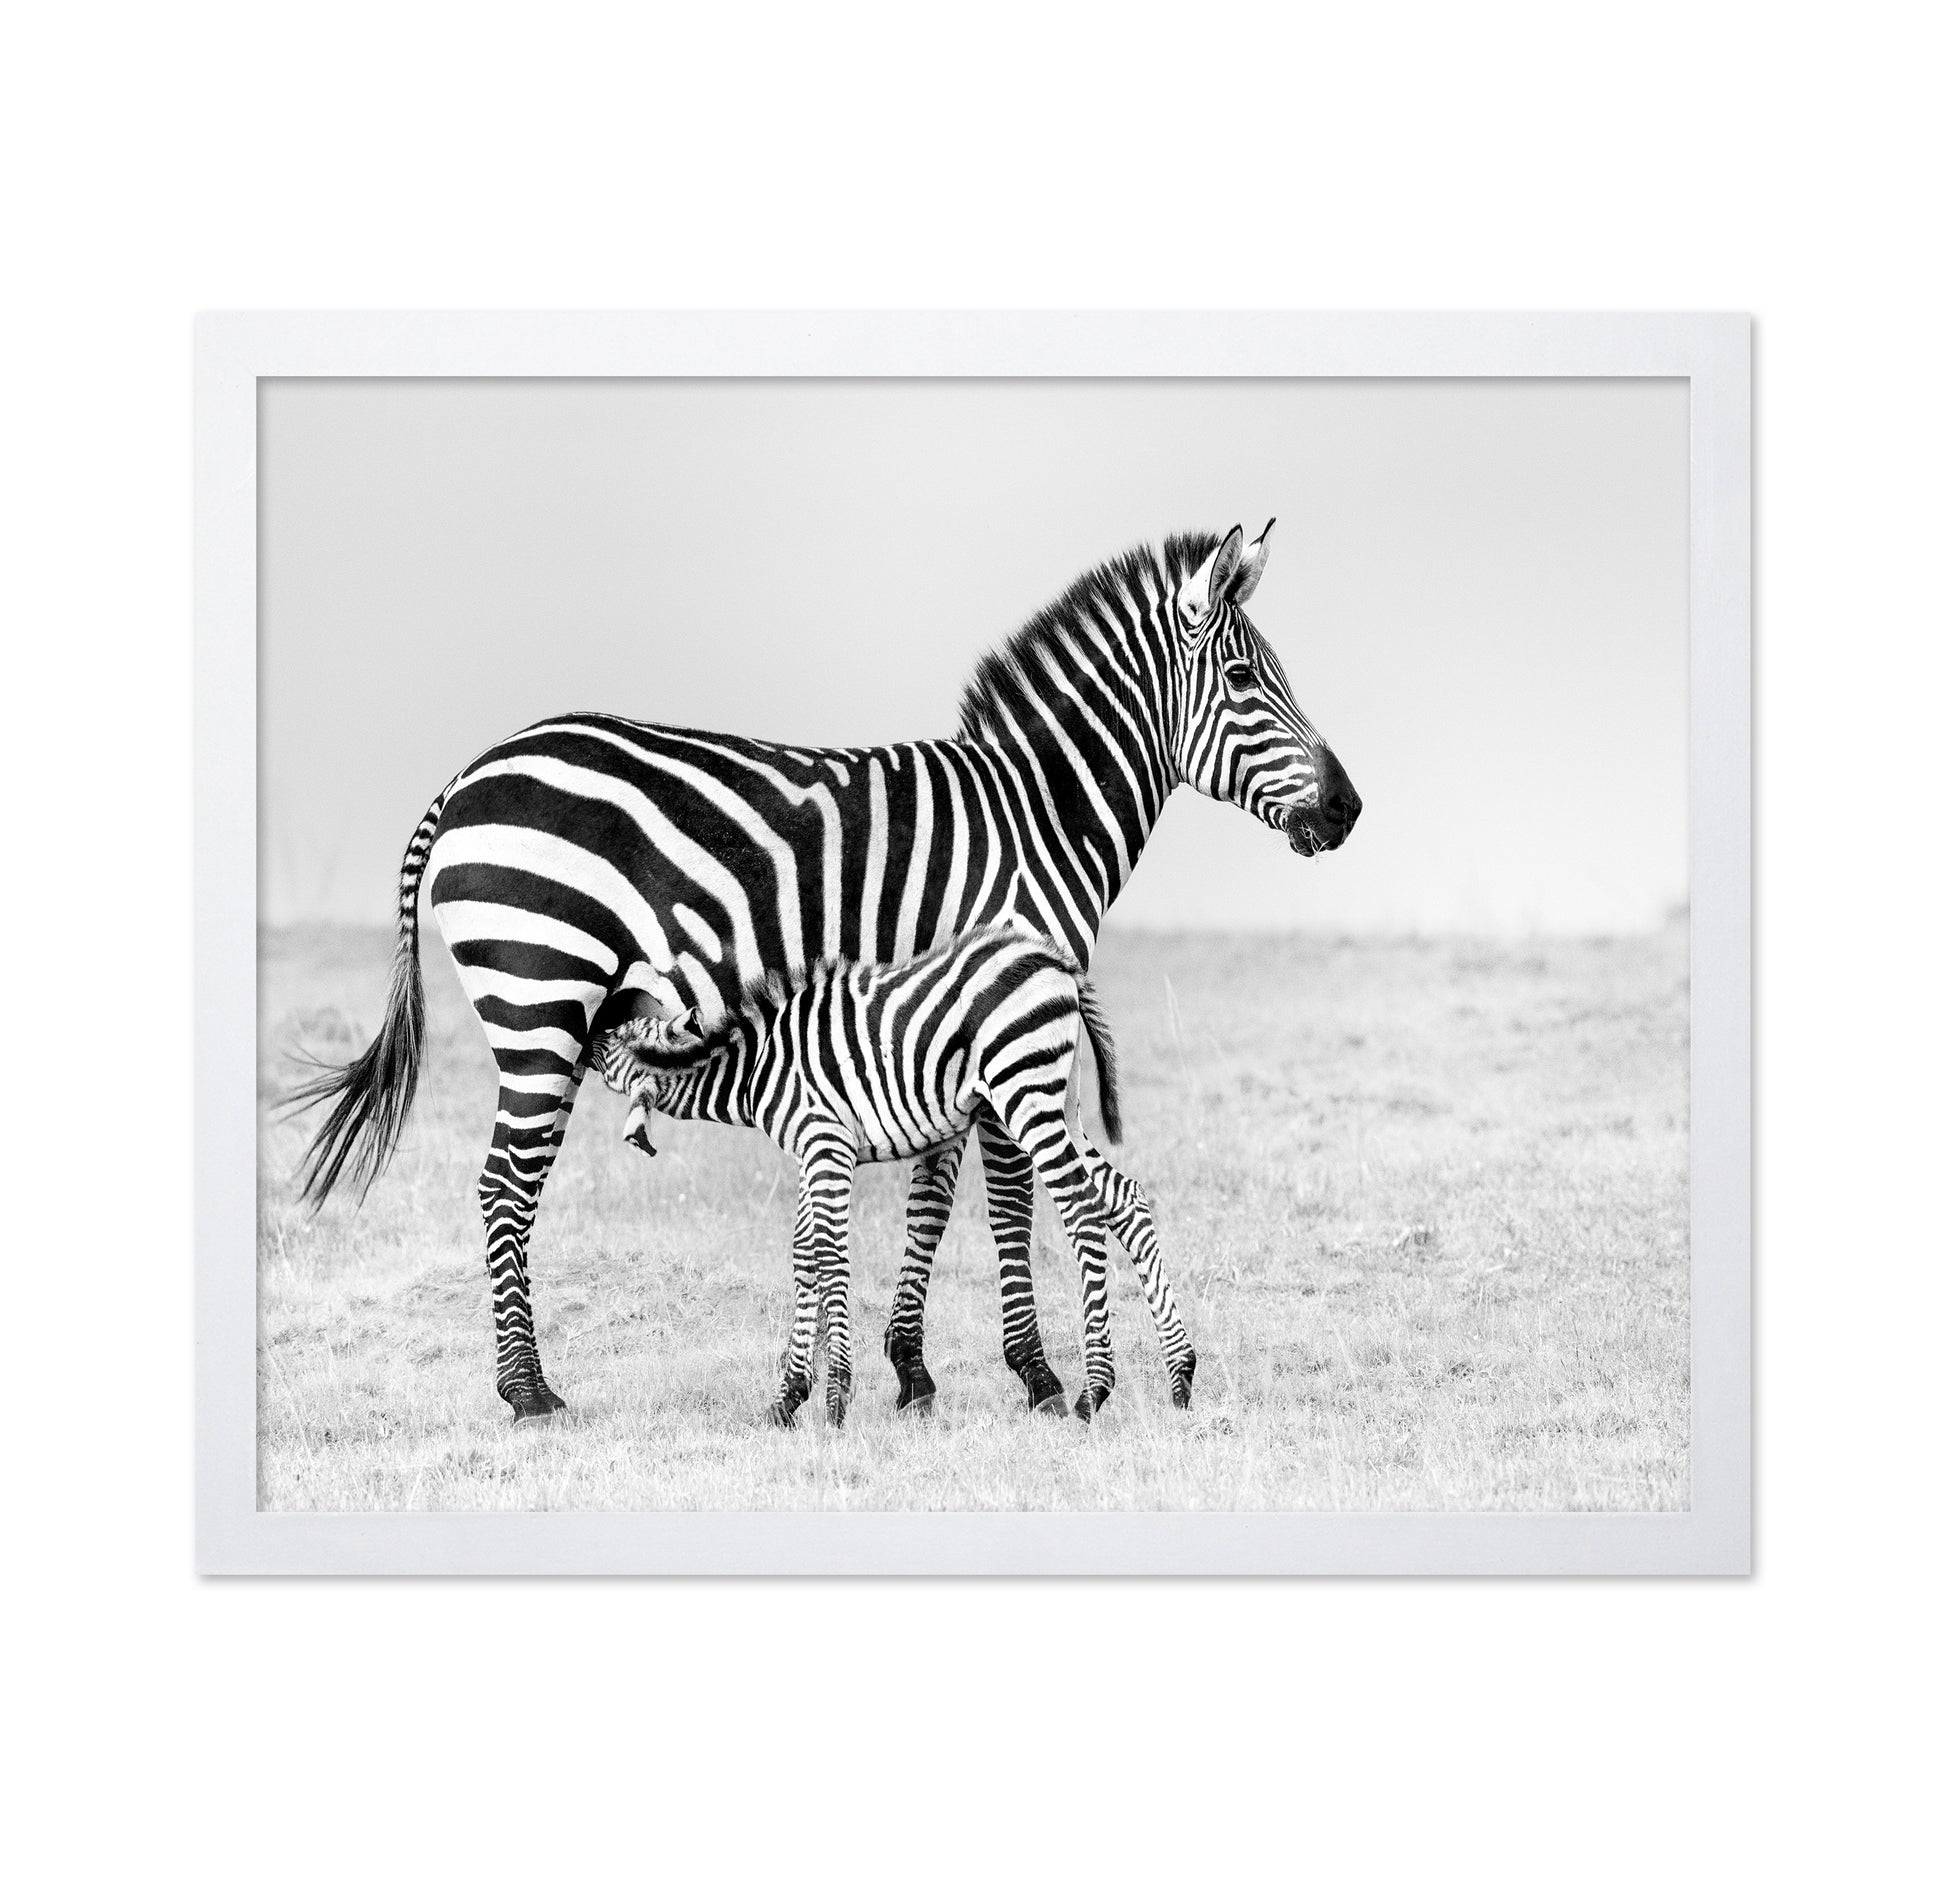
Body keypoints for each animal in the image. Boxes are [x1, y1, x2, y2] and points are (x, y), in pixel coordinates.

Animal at [591, 929, 1194, 1425]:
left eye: (614, 1037)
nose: (591, 1021)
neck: (759, 1069)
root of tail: (1054, 960)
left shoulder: (826, 1143)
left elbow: (829, 1258)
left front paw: (835, 1402)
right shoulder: (816, 1152)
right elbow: (804, 1254)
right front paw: (787, 1398)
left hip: (1025, 1095)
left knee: (1081, 1208)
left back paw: (1095, 1390)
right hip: (1060, 1101)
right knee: (1124, 1198)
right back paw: (1181, 1377)